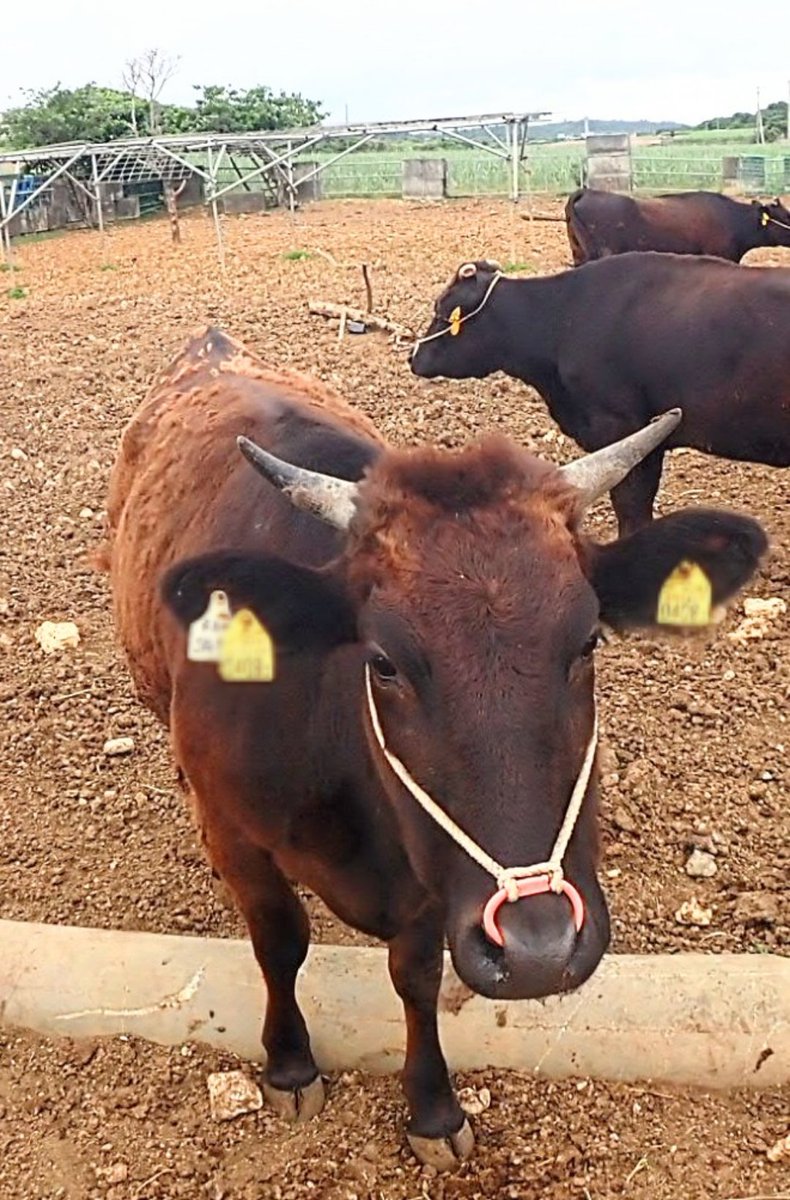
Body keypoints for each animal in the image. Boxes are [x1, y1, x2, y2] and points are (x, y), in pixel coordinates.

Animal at [103, 326, 763, 1161]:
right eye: (383, 660)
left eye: (589, 640)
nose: (540, 947)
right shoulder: (238, 834)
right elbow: (278, 942)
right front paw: (289, 1063)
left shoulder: (433, 884)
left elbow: (415, 975)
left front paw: (434, 1108)